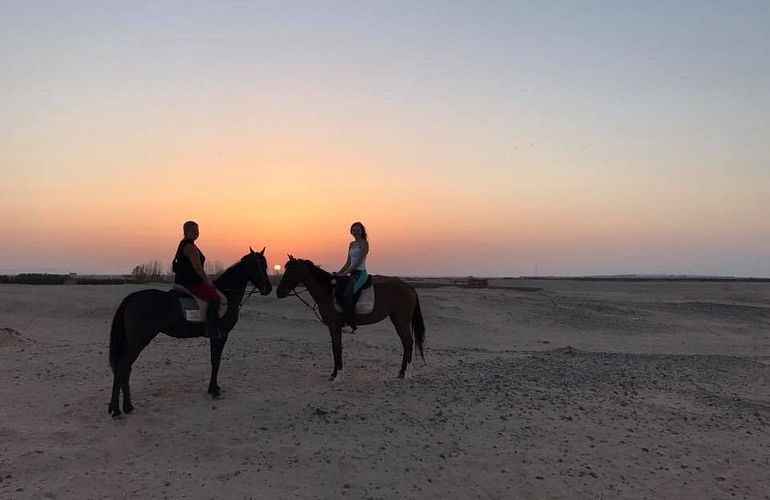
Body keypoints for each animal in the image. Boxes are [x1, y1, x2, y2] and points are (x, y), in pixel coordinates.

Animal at [108, 247, 270, 418]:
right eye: (258, 265)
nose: (268, 288)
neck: (227, 294)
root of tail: (132, 298)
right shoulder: (221, 335)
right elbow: (216, 361)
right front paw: (214, 390)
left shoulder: (216, 337)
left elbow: (213, 361)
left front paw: (213, 388)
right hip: (138, 342)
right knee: (122, 368)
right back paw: (119, 409)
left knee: (124, 369)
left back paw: (125, 407)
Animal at [272, 256, 424, 380]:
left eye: (291, 271)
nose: (279, 292)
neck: (328, 292)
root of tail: (409, 287)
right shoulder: (332, 327)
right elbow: (334, 348)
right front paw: (334, 373)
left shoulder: (335, 326)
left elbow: (337, 347)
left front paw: (337, 375)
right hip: (396, 320)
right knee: (405, 343)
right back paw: (401, 372)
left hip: (402, 321)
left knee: (408, 342)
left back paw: (407, 373)